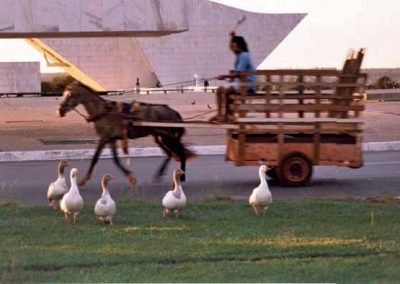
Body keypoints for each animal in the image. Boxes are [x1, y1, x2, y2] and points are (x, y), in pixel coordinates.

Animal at [57, 80, 196, 186]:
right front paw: (129, 176)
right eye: (63, 93)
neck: (103, 112)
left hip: (168, 138)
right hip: (159, 138)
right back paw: (160, 175)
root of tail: (173, 112)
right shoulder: (110, 139)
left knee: (180, 154)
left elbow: (95, 158)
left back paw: (181, 177)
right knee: (169, 154)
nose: (60, 110)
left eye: (70, 94)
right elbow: (115, 160)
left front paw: (84, 179)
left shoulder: (104, 138)